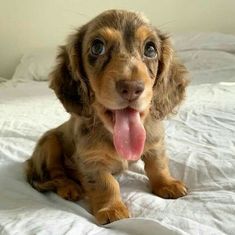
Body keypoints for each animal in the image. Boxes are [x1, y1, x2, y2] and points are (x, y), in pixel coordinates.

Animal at [25, 9, 187, 224]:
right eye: (97, 47)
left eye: (150, 49)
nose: (131, 88)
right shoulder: (91, 159)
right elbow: (106, 183)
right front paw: (112, 208)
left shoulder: (155, 143)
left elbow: (158, 165)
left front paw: (167, 184)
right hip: (49, 143)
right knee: (57, 174)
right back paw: (69, 187)